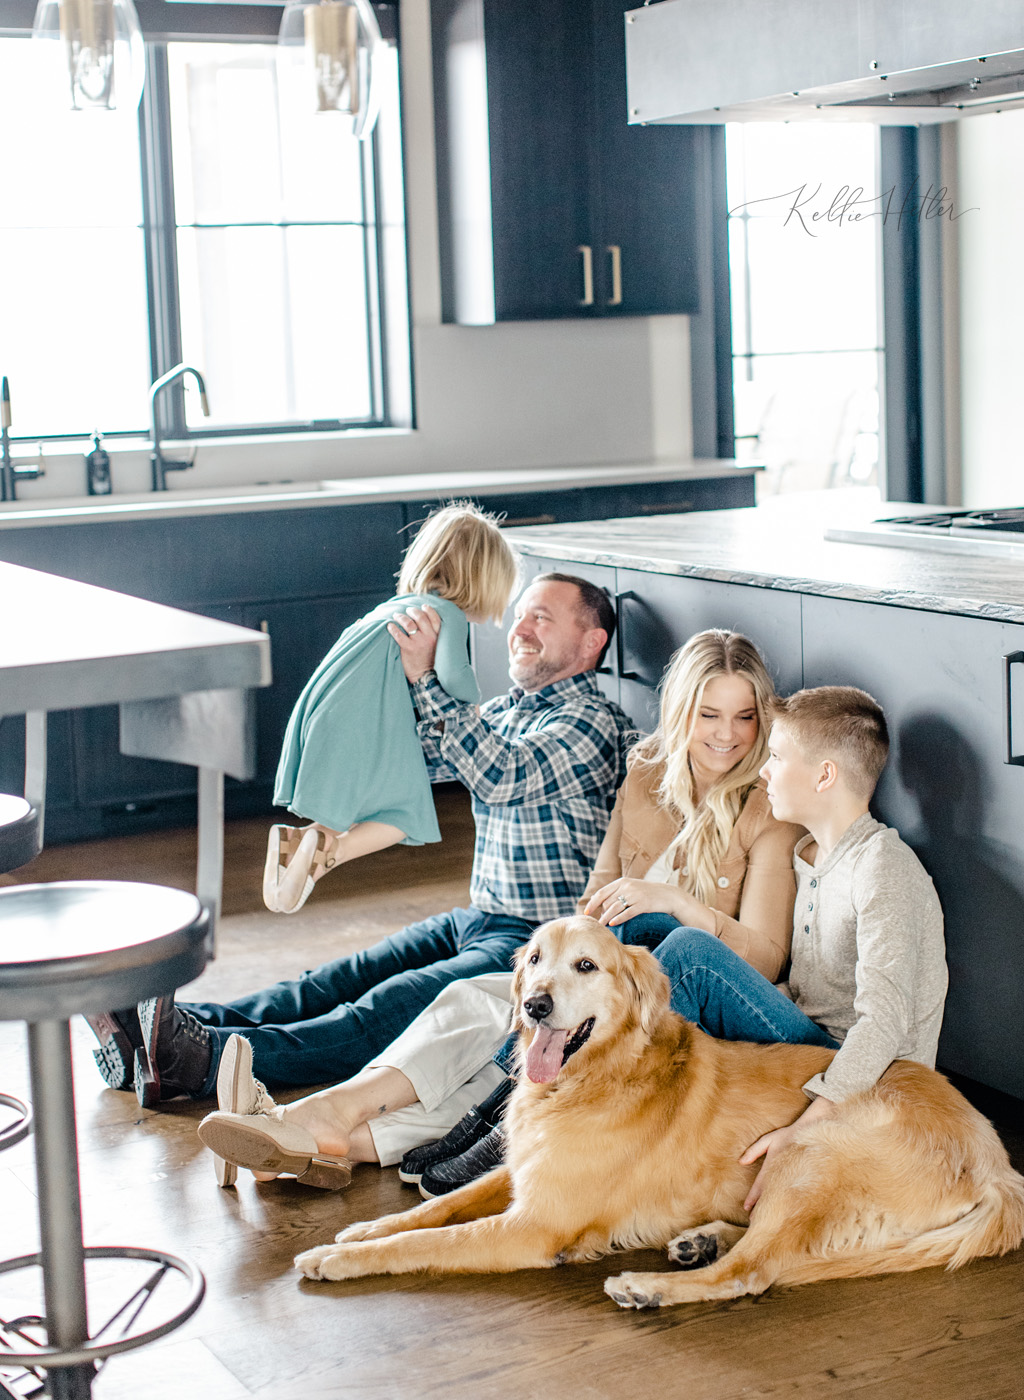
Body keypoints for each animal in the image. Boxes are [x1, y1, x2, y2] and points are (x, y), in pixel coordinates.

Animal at [294, 912, 1024, 1304]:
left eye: (586, 966)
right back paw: (701, 1239)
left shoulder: (533, 1226)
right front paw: (365, 1228)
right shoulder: (523, 1172)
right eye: (535, 960)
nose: (533, 1005)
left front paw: (335, 1257)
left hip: (811, 1152)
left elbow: (431, 1239)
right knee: (755, 1249)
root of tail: (999, 1165)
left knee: (753, 1272)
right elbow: (437, 1206)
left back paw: (650, 1286)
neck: (597, 1075)